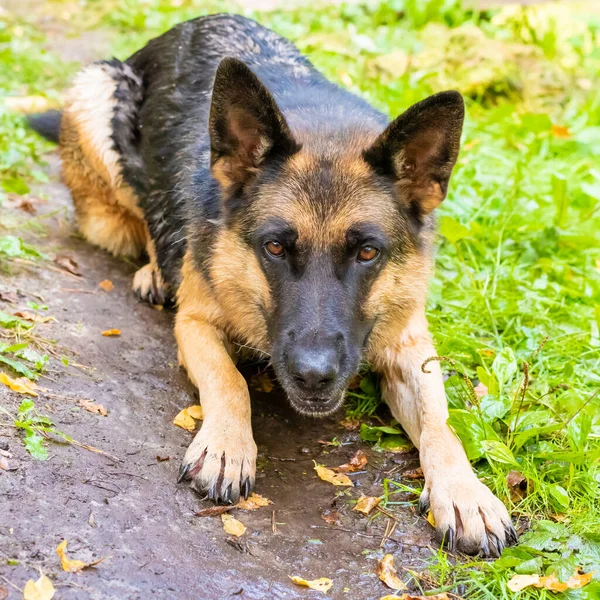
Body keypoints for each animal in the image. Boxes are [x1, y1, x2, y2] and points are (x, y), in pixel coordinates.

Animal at [29, 14, 516, 556]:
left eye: (368, 252)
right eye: (276, 248)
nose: (314, 375)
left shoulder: (411, 348)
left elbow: (441, 425)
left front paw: (467, 493)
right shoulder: (195, 324)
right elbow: (231, 380)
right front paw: (227, 445)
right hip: (98, 103)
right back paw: (154, 268)